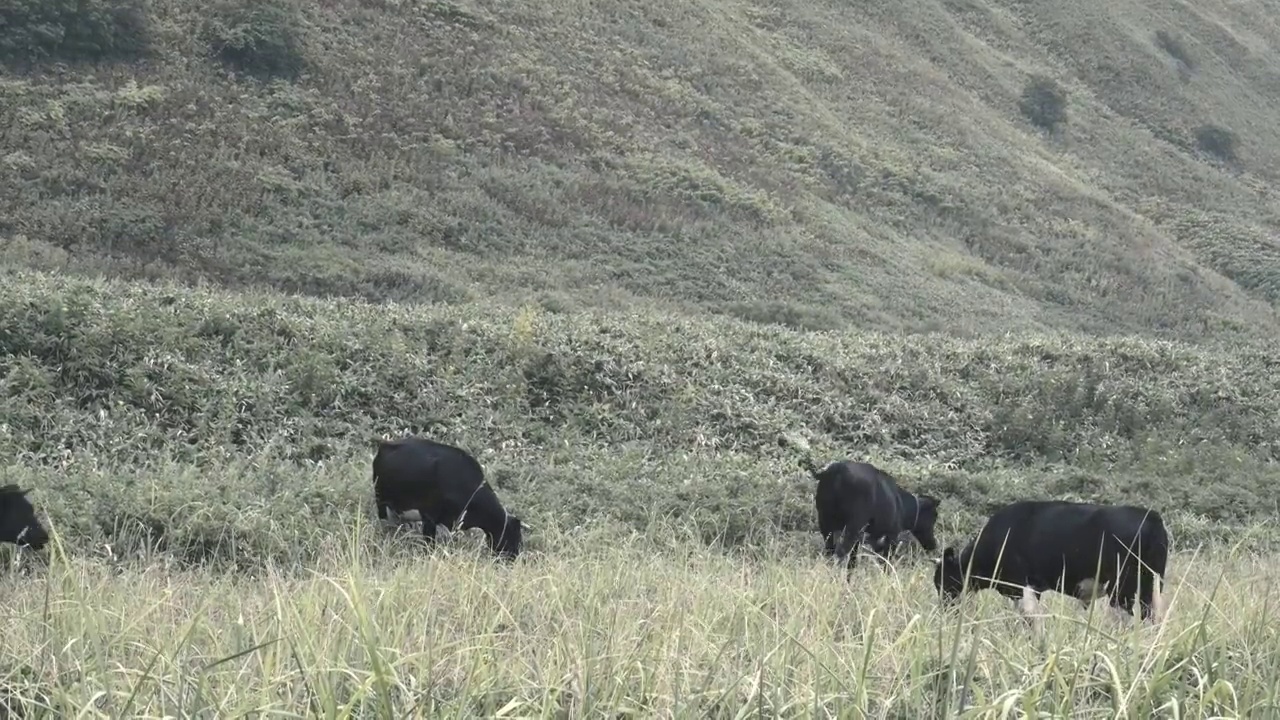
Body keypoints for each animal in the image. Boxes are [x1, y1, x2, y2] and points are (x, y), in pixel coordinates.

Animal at [371, 435, 524, 558]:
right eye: (512, 536)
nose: (513, 558)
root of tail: (384, 444)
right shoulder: (429, 516)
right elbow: (429, 544)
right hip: (381, 502)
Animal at [803, 458, 947, 571]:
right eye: (934, 515)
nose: (933, 544)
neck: (902, 505)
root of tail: (834, 471)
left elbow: (853, 562)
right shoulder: (891, 536)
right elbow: (886, 563)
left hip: (825, 522)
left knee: (830, 552)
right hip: (852, 526)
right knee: (840, 553)